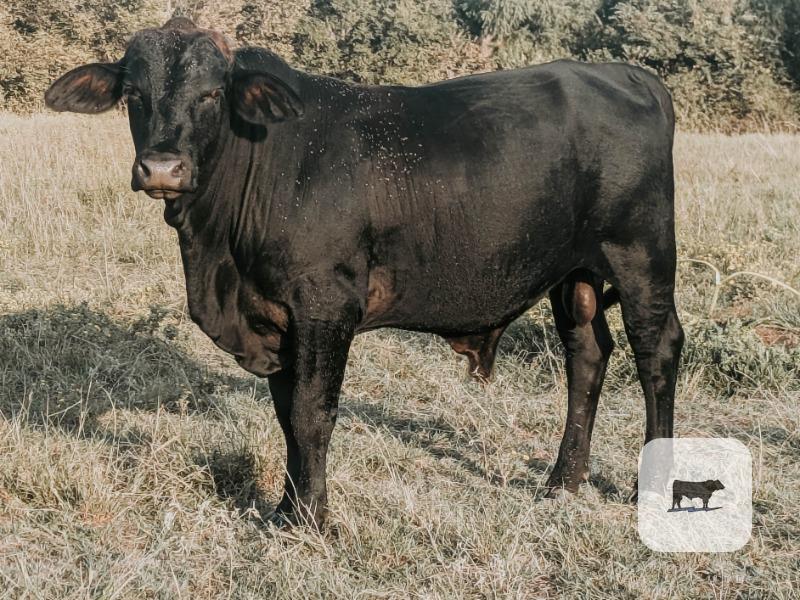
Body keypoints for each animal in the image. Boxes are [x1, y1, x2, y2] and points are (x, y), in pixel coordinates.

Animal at [45, 18, 684, 528]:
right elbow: (286, 416)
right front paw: (285, 509)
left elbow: (311, 413)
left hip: (642, 256)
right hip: (572, 272)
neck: (218, 255)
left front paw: (310, 520)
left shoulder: (325, 308)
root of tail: (628, 76)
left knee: (657, 352)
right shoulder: (279, 318)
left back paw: (651, 487)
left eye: (211, 94)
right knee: (587, 355)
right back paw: (561, 481)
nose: (162, 167)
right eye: (133, 93)